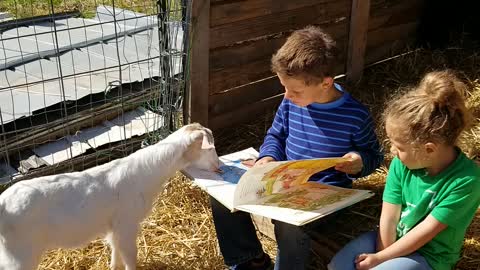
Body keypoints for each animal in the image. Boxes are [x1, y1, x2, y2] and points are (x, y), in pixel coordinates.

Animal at [0, 123, 220, 270]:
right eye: (210, 148)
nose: (219, 167)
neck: (149, 174)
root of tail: (3, 204)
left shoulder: (115, 229)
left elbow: (116, 257)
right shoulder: (127, 224)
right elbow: (130, 257)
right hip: (19, 254)